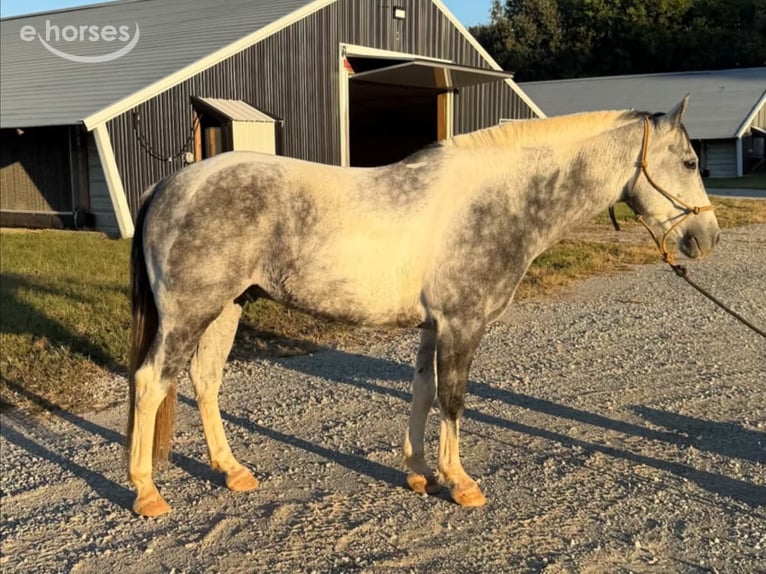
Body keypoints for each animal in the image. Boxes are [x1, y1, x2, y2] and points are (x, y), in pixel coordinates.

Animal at [126, 96, 720, 516]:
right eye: (691, 161)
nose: (707, 237)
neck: (494, 200)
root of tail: (168, 183)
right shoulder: (463, 324)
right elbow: (454, 399)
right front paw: (460, 483)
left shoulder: (433, 326)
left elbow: (423, 392)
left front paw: (417, 472)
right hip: (190, 312)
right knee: (151, 381)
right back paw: (147, 493)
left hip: (227, 308)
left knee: (204, 380)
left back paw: (233, 471)